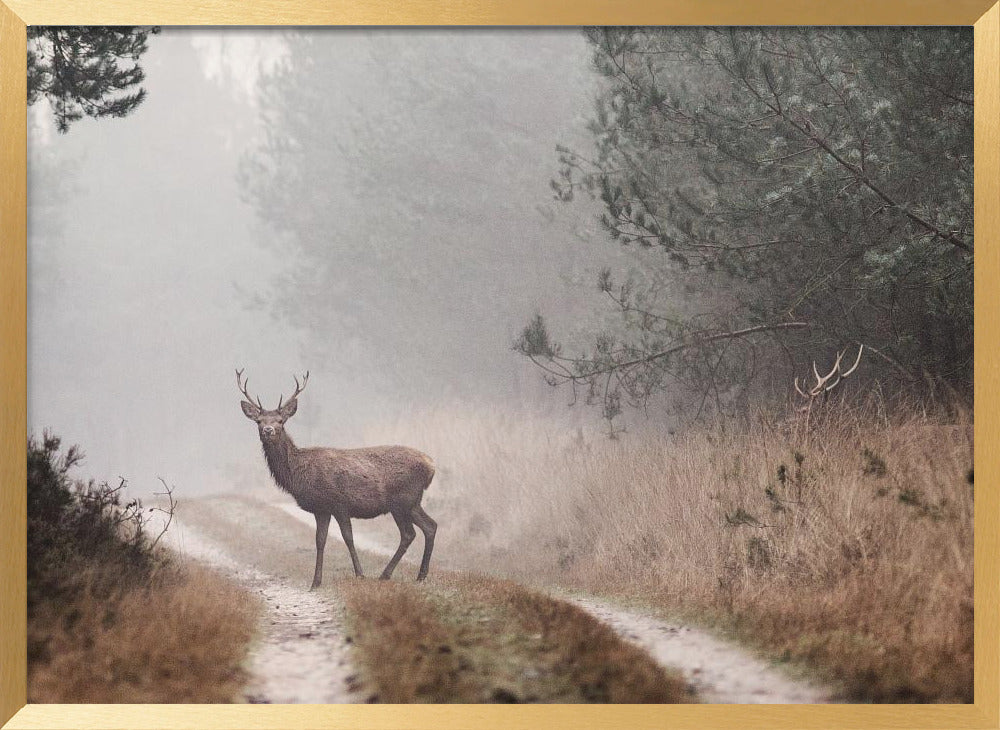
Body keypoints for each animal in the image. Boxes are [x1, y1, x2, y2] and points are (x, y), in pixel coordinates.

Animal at [236, 369, 437, 587]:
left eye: (281, 421)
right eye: (259, 421)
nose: (268, 430)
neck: (298, 475)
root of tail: (431, 466)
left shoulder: (339, 503)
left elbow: (347, 537)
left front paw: (360, 574)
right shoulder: (321, 509)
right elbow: (320, 541)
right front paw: (316, 582)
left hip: (401, 500)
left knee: (409, 533)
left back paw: (386, 574)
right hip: (413, 501)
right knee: (430, 526)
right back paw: (420, 575)